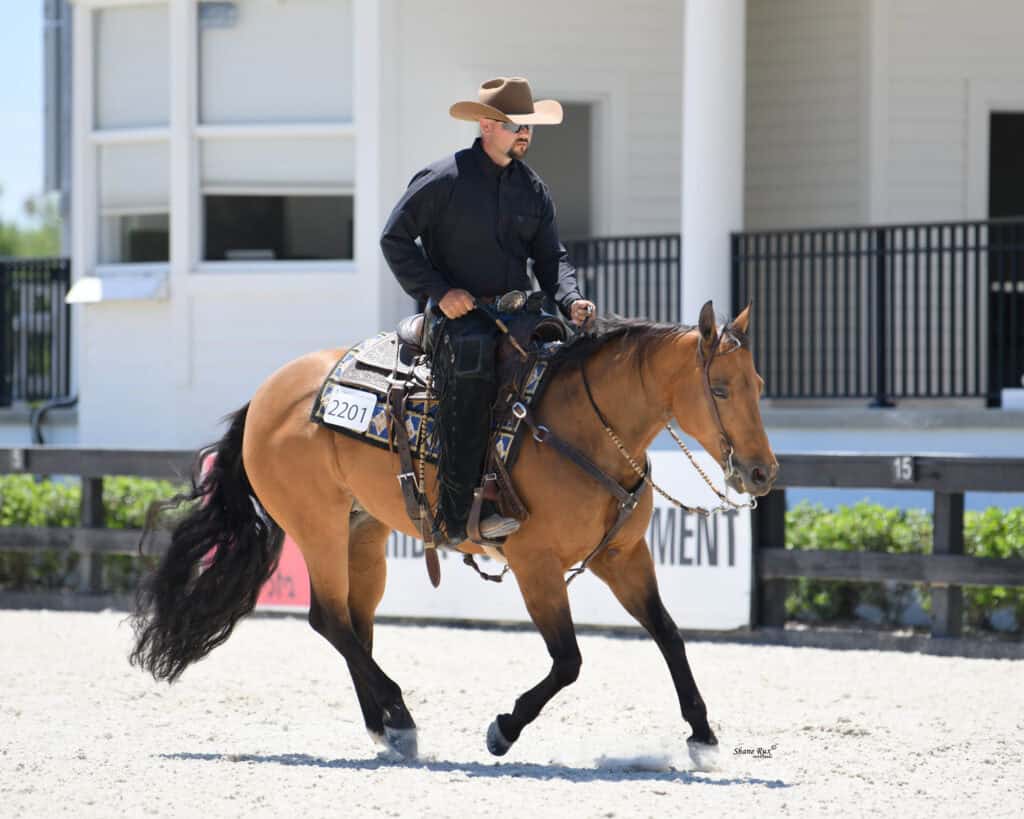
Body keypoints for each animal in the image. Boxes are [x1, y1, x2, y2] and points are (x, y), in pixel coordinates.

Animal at [129, 300, 777, 761]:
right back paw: (400, 716)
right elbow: (568, 660)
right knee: (328, 619)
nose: (762, 473)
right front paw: (503, 729)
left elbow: (669, 635)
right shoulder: (536, 566)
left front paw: (703, 735)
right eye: (720, 389)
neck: (587, 430)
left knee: (354, 623)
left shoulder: (623, 554)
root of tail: (266, 396)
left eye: (760, 386)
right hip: (316, 527)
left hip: (363, 533)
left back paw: (385, 726)